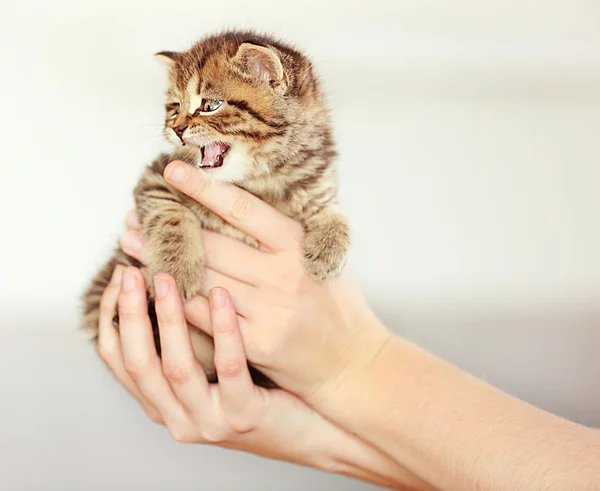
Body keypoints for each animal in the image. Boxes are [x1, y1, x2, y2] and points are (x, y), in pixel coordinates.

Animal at [82, 29, 350, 388]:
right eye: (174, 108)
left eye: (210, 105)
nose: (177, 129)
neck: (259, 179)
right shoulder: (157, 176)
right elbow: (172, 214)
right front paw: (176, 270)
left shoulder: (318, 179)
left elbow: (332, 210)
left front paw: (327, 251)